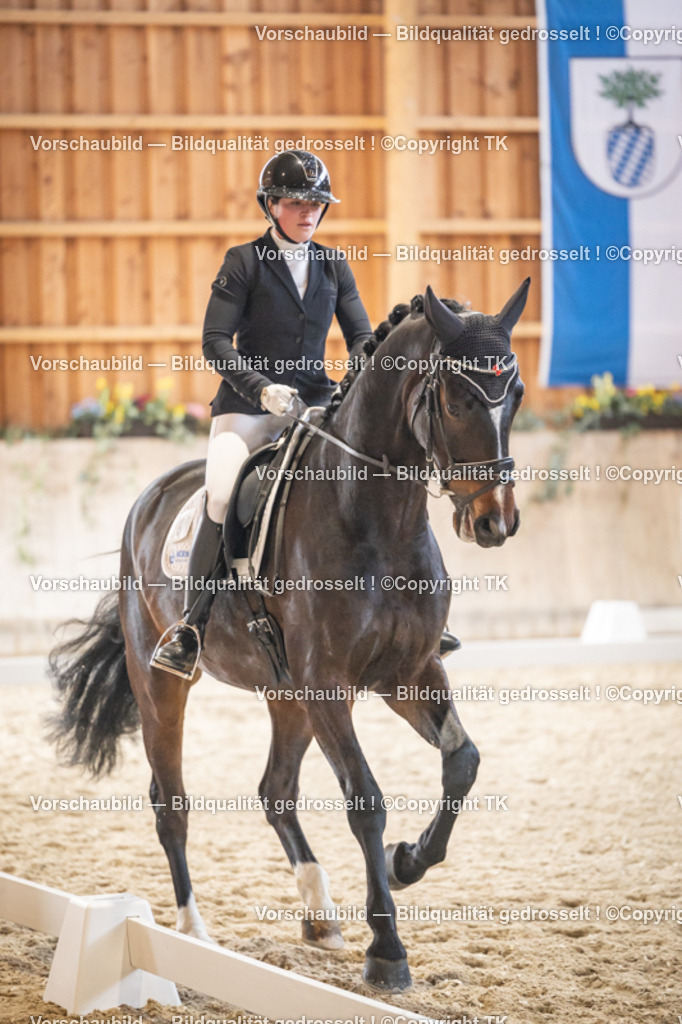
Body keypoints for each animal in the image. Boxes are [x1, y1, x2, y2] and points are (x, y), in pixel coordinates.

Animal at [48, 280, 529, 993]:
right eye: (456, 399)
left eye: (515, 394)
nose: (495, 522)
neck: (379, 517)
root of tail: (152, 496)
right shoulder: (329, 684)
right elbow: (365, 801)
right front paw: (387, 951)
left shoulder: (408, 673)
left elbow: (463, 763)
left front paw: (408, 861)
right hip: (162, 681)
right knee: (172, 803)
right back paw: (193, 935)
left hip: (287, 695)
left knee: (275, 791)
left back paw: (319, 914)